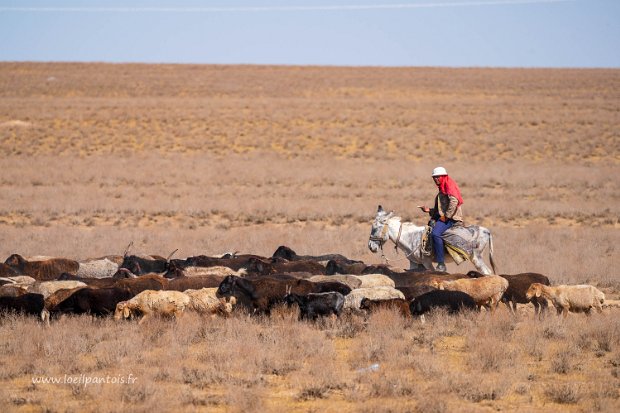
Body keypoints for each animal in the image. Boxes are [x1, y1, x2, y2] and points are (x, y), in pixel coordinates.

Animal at [366, 204, 496, 274]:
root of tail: (486, 231)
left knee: (487, 273)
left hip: (476, 258)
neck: (411, 238)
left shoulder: (427, 263)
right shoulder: (414, 263)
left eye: (376, 228)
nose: (370, 247)